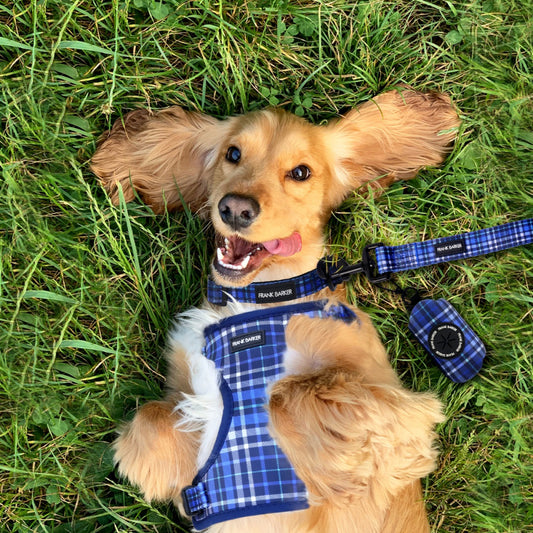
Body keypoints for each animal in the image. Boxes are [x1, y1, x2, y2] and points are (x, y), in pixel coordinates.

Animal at [90, 89, 458, 528]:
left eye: (300, 172)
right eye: (232, 153)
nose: (235, 208)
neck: (257, 297)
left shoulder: (397, 408)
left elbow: (288, 393)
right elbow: (152, 415)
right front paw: (160, 467)